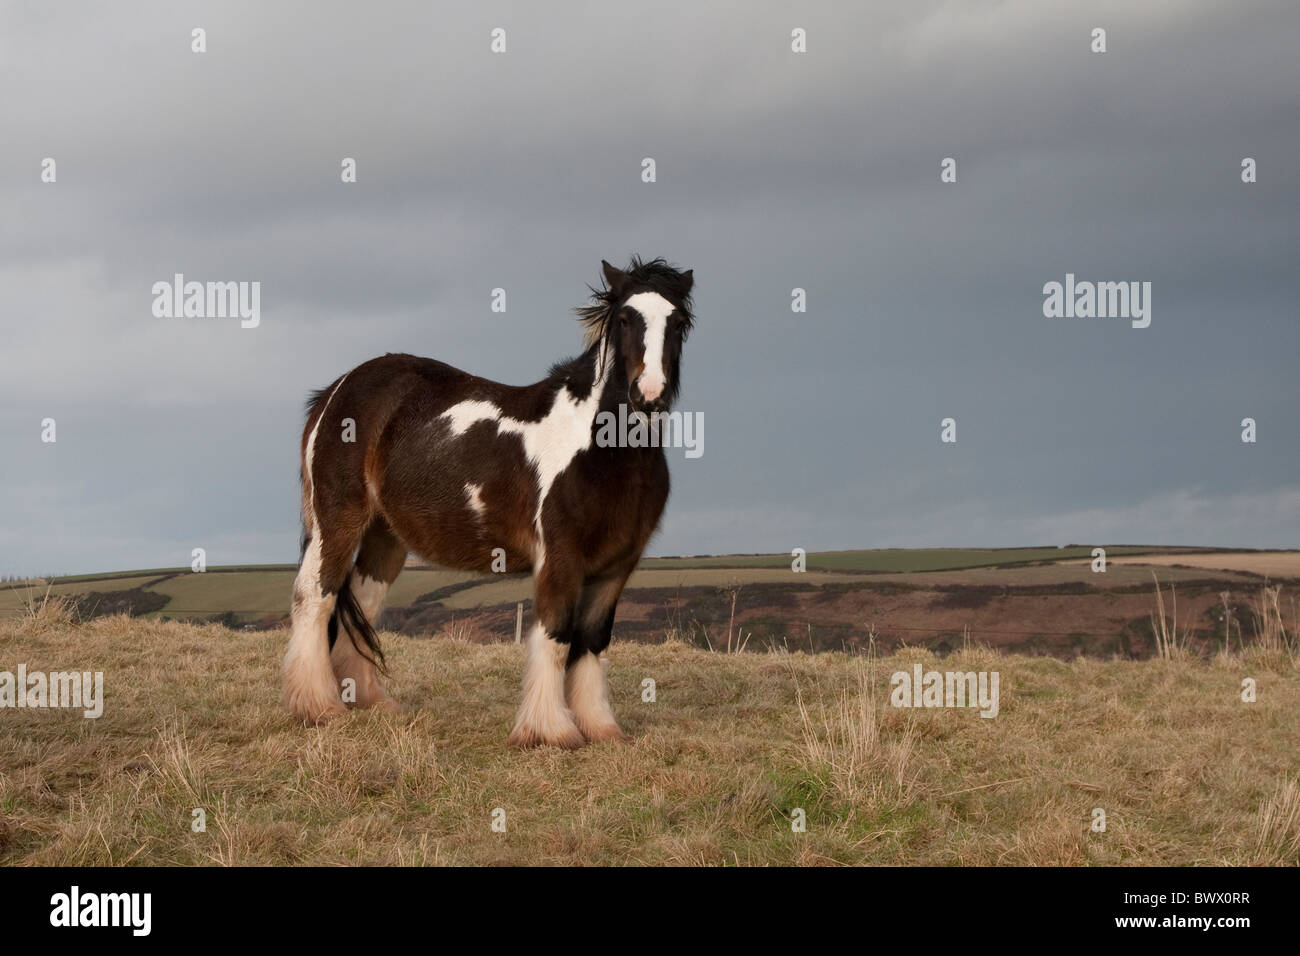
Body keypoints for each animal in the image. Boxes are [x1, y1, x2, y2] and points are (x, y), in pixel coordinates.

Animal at [280, 254, 696, 749]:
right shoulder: (560, 558)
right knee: (314, 597)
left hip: (386, 536)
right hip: (338, 521)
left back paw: (370, 703)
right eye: (626, 319)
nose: (648, 396)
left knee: (361, 606)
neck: (602, 451)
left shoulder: (616, 566)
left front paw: (600, 727)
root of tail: (338, 388)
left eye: (678, 322)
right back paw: (318, 707)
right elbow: (556, 635)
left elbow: (592, 641)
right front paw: (550, 731)